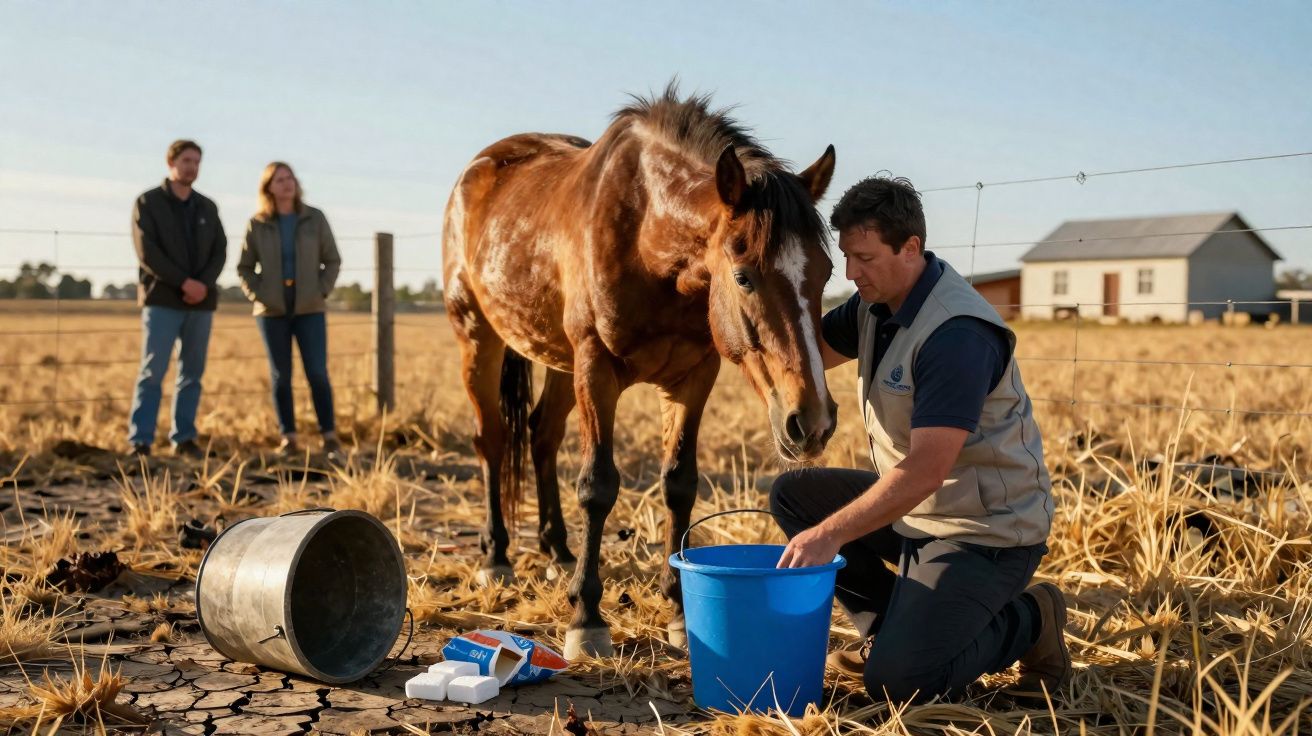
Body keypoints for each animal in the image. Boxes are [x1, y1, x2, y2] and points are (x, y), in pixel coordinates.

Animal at [442, 86, 838, 659]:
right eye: (744, 276)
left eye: (826, 273)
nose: (813, 423)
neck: (645, 231)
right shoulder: (596, 369)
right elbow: (598, 486)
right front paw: (586, 617)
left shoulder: (694, 377)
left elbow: (680, 485)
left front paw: (678, 608)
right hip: (479, 338)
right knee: (492, 440)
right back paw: (496, 556)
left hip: (559, 362)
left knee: (541, 436)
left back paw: (559, 552)